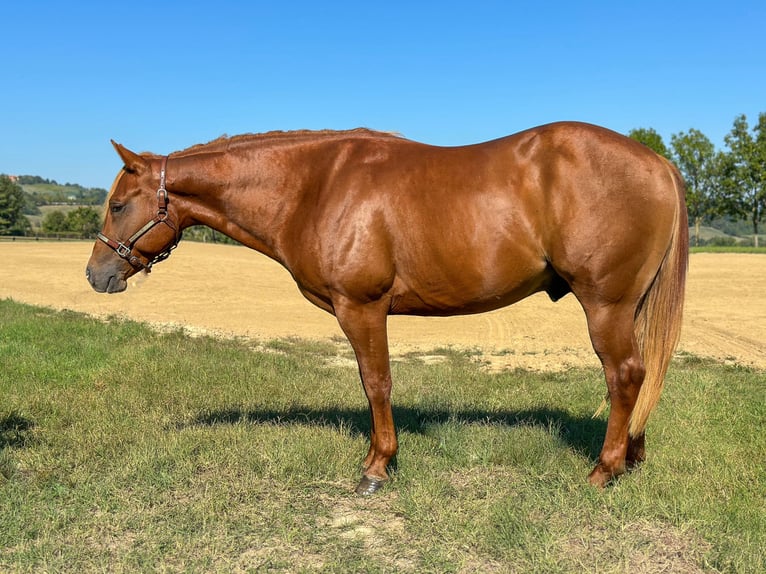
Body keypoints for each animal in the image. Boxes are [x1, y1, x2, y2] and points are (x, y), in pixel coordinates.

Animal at [86, 122, 688, 495]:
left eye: (118, 205)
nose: (97, 274)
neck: (314, 186)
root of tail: (657, 162)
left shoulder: (362, 307)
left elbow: (376, 383)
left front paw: (377, 468)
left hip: (606, 305)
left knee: (625, 375)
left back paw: (603, 472)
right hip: (627, 308)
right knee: (640, 377)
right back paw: (631, 457)